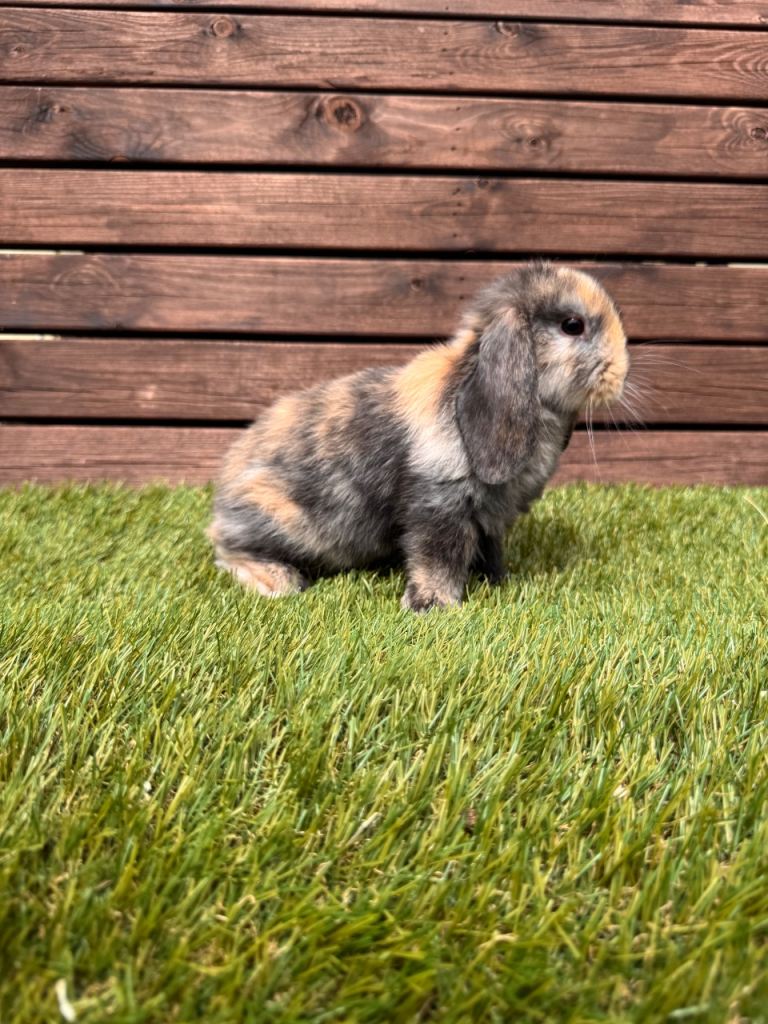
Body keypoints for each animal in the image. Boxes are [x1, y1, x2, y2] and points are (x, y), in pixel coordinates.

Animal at [208, 261, 628, 611]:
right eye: (572, 325)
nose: (622, 372)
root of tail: (224, 494)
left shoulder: (490, 519)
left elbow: (490, 553)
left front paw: (499, 583)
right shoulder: (439, 505)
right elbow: (436, 559)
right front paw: (433, 607)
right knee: (226, 550)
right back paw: (280, 582)